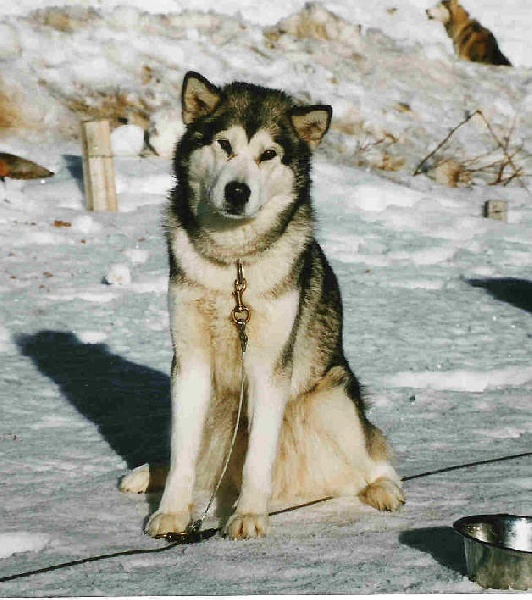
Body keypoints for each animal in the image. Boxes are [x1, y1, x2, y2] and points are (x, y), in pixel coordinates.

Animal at [119, 70, 404, 540]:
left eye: (268, 154)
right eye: (224, 145)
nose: (238, 190)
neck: (234, 266)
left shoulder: (270, 368)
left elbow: (258, 458)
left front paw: (249, 515)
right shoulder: (189, 362)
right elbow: (183, 455)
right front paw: (172, 511)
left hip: (331, 399)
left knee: (374, 456)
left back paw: (384, 488)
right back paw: (147, 474)